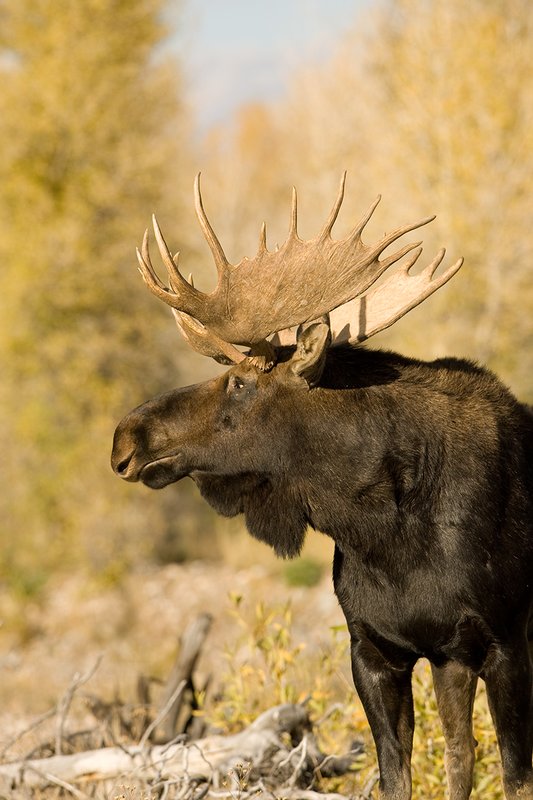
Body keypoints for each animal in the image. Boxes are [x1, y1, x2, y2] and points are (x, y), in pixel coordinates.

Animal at [111, 174, 533, 800]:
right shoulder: (380, 650)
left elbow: (515, 776)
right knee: (462, 752)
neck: (387, 536)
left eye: (239, 382)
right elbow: (400, 773)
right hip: (450, 660)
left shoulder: (507, 641)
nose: (125, 437)